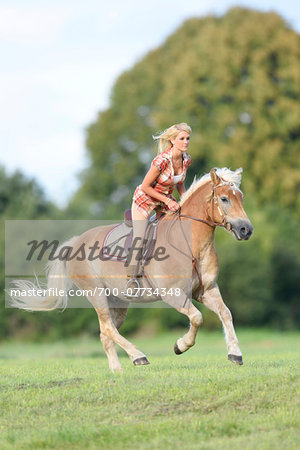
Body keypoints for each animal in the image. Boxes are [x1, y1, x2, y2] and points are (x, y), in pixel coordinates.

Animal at [8, 169, 253, 372]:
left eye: (241, 198)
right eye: (224, 199)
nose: (246, 229)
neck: (191, 245)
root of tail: (75, 242)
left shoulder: (206, 290)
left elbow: (225, 313)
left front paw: (235, 354)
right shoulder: (173, 295)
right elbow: (197, 318)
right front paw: (180, 346)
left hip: (118, 299)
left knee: (106, 332)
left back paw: (117, 369)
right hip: (96, 293)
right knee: (107, 328)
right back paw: (138, 356)